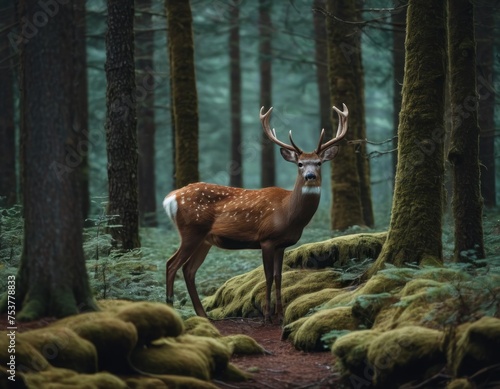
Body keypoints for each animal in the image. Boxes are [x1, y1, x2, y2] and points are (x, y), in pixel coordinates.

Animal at [164, 103, 348, 322]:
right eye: (300, 164)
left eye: (319, 163)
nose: (310, 176)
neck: (288, 213)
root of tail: (171, 198)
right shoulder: (266, 239)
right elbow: (267, 276)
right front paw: (267, 315)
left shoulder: (282, 244)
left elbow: (279, 277)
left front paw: (280, 314)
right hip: (191, 230)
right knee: (171, 264)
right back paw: (171, 308)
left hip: (205, 240)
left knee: (189, 270)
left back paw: (204, 315)